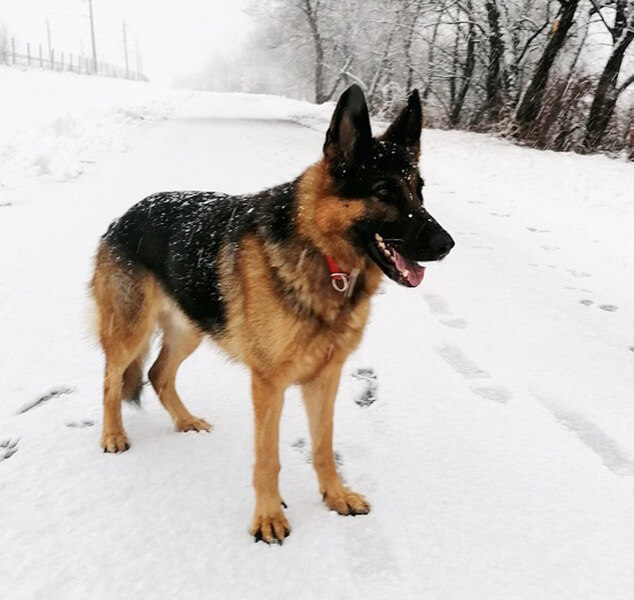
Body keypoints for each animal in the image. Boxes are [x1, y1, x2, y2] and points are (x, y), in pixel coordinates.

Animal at [91, 84, 454, 543]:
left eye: (419, 191)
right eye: (384, 192)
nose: (447, 244)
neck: (321, 254)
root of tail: (123, 216)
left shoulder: (325, 378)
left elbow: (323, 446)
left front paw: (335, 495)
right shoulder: (268, 384)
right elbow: (268, 457)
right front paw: (267, 517)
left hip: (191, 328)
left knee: (157, 374)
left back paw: (185, 420)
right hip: (131, 330)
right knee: (110, 379)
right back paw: (113, 434)